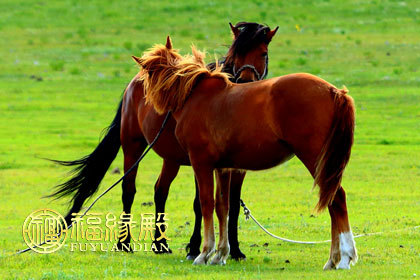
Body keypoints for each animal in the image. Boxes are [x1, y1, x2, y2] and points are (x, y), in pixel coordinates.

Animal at [49, 21, 278, 260]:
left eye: (263, 53)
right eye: (235, 53)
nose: (246, 81)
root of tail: (135, 81)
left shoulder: (236, 167)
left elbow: (232, 203)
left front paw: (235, 250)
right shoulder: (201, 160)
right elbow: (200, 202)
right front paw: (194, 247)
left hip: (171, 158)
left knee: (160, 191)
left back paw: (160, 243)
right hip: (133, 146)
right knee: (129, 190)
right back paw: (124, 242)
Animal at [135, 37, 358, 270]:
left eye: (146, 74)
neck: (195, 96)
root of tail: (334, 91)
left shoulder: (201, 164)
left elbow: (206, 204)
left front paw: (204, 253)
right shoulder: (223, 168)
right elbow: (222, 206)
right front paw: (220, 254)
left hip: (316, 159)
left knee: (337, 199)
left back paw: (344, 257)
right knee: (332, 200)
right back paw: (333, 259)